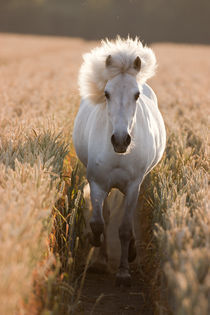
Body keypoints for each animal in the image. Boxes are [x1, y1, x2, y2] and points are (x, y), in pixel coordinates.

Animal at [73, 37, 167, 286]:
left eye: (136, 95)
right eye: (107, 93)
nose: (121, 140)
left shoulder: (133, 186)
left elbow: (124, 229)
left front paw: (124, 272)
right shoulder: (97, 183)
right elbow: (99, 222)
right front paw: (96, 249)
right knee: (105, 217)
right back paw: (100, 259)